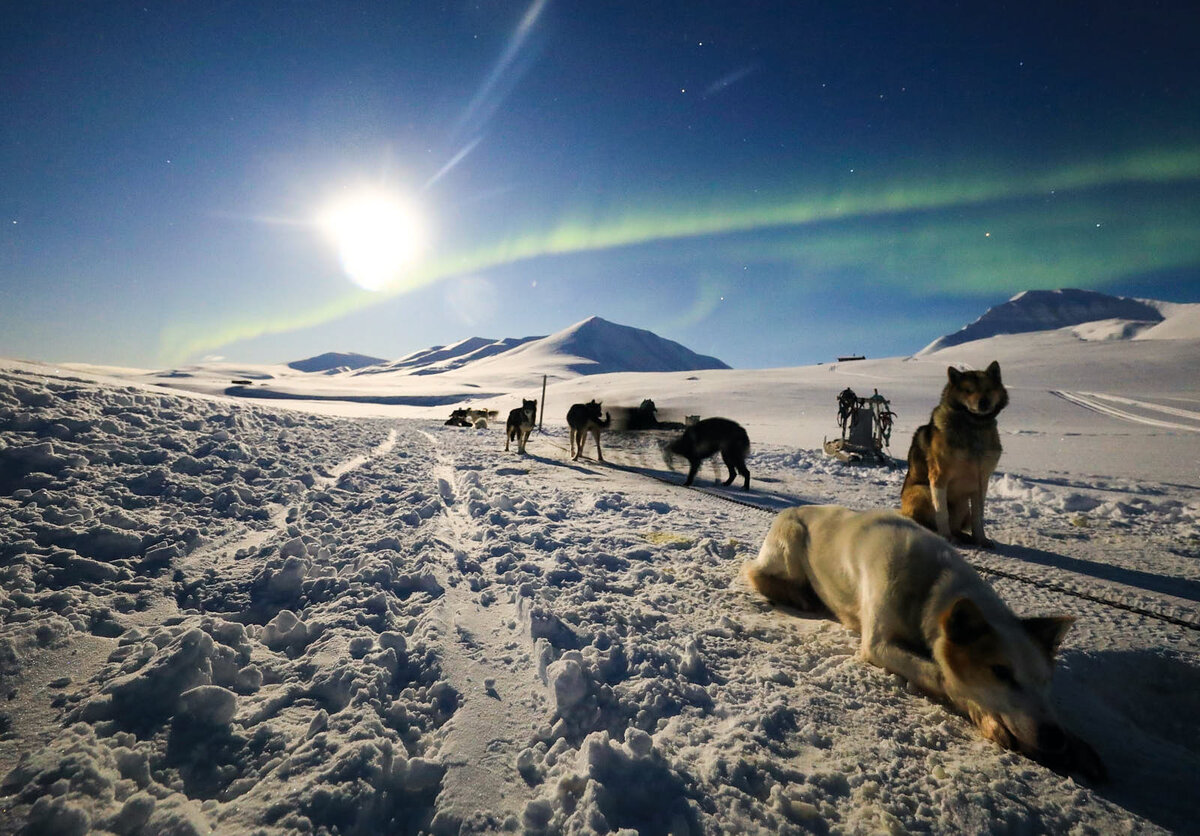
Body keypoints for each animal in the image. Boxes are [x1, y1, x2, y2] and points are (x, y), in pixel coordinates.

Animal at [748, 501, 1104, 782]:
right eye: (1001, 673)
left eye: (1045, 681)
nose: (1053, 737)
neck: (930, 583)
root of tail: (793, 508)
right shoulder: (879, 645)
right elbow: (942, 676)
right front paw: (985, 716)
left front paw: (1077, 744)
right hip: (790, 544)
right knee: (756, 574)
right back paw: (800, 595)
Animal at [902, 359, 1008, 544]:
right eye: (968, 390)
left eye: (988, 389)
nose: (983, 402)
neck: (974, 426)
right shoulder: (938, 477)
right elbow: (942, 513)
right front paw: (946, 537)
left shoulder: (981, 482)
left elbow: (978, 517)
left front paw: (981, 539)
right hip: (923, 491)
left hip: (962, 504)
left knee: (959, 524)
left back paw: (963, 536)